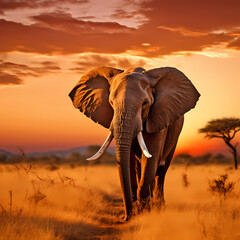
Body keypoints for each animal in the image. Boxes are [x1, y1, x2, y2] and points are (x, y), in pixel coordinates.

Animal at [68, 65, 200, 221]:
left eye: (145, 103)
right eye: (111, 103)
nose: (125, 218)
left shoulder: (158, 117)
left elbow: (151, 159)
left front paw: (144, 215)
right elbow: (130, 161)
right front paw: (138, 214)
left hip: (175, 137)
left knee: (161, 172)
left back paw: (160, 209)